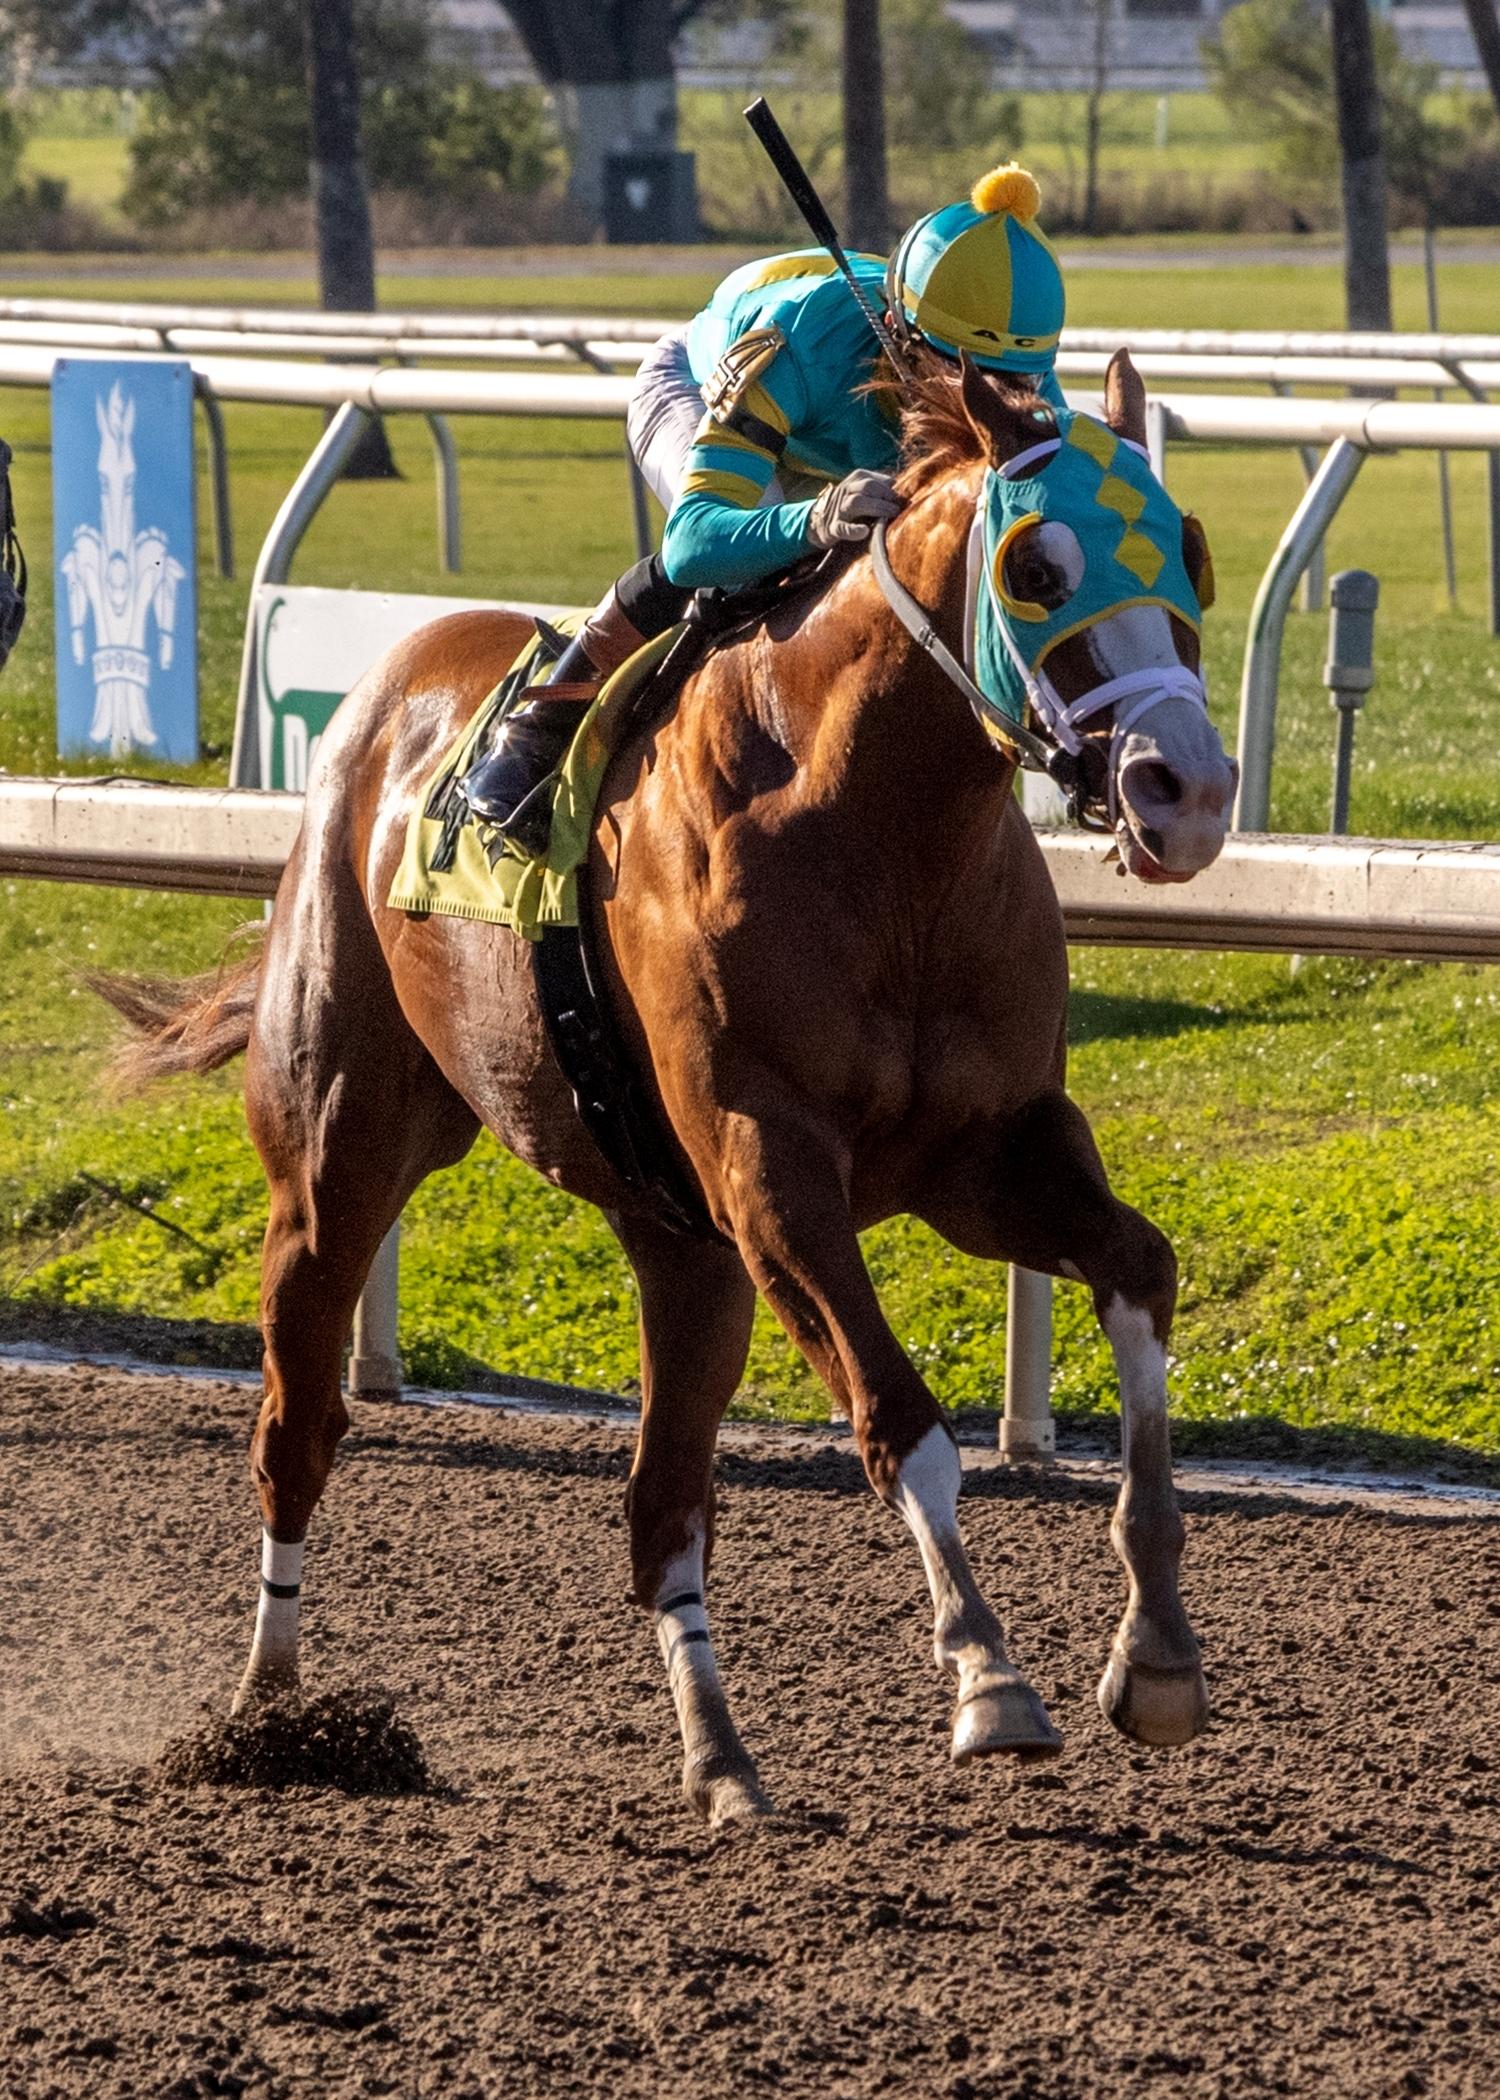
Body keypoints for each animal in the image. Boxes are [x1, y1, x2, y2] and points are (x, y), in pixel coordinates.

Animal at [100, 352, 1237, 1827]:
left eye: (1192, 555)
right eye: (1039, 567)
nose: (1189, 792)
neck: (880, 834)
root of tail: (389, 683)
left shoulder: (987, 1157)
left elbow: (1142, 1277)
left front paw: (1156, 1653)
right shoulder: (770, 1176)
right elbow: (897, 1419)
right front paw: (989, 1680)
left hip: (679, 1245)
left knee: (662, 1506)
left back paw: (724, 1765)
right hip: (338, 1158)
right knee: (297, 1429)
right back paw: (273, 1717)